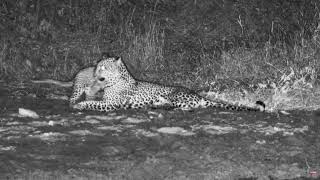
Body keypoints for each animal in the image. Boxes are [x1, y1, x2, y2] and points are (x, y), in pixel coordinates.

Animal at [72, 54, 264, 112]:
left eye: (103, 67)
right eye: (98, 67)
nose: (94, 73)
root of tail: (196, 94)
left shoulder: (112, 103)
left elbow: (93, 103)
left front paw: (79, 104)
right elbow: (93, 99)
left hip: (176, 95)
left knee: (189, 106)